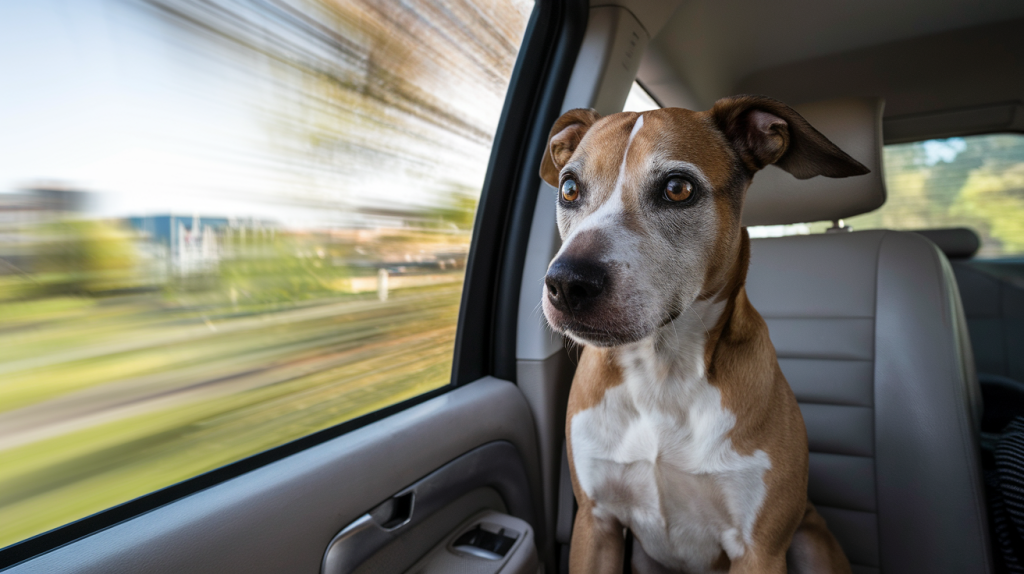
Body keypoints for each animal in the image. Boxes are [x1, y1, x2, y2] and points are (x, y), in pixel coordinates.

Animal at [536, 95, 864, 572]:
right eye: (569, 189)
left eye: (677, 188)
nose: (566, 284)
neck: (661, 373)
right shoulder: (595, 523)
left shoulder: (760, 550)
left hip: (811, 539)